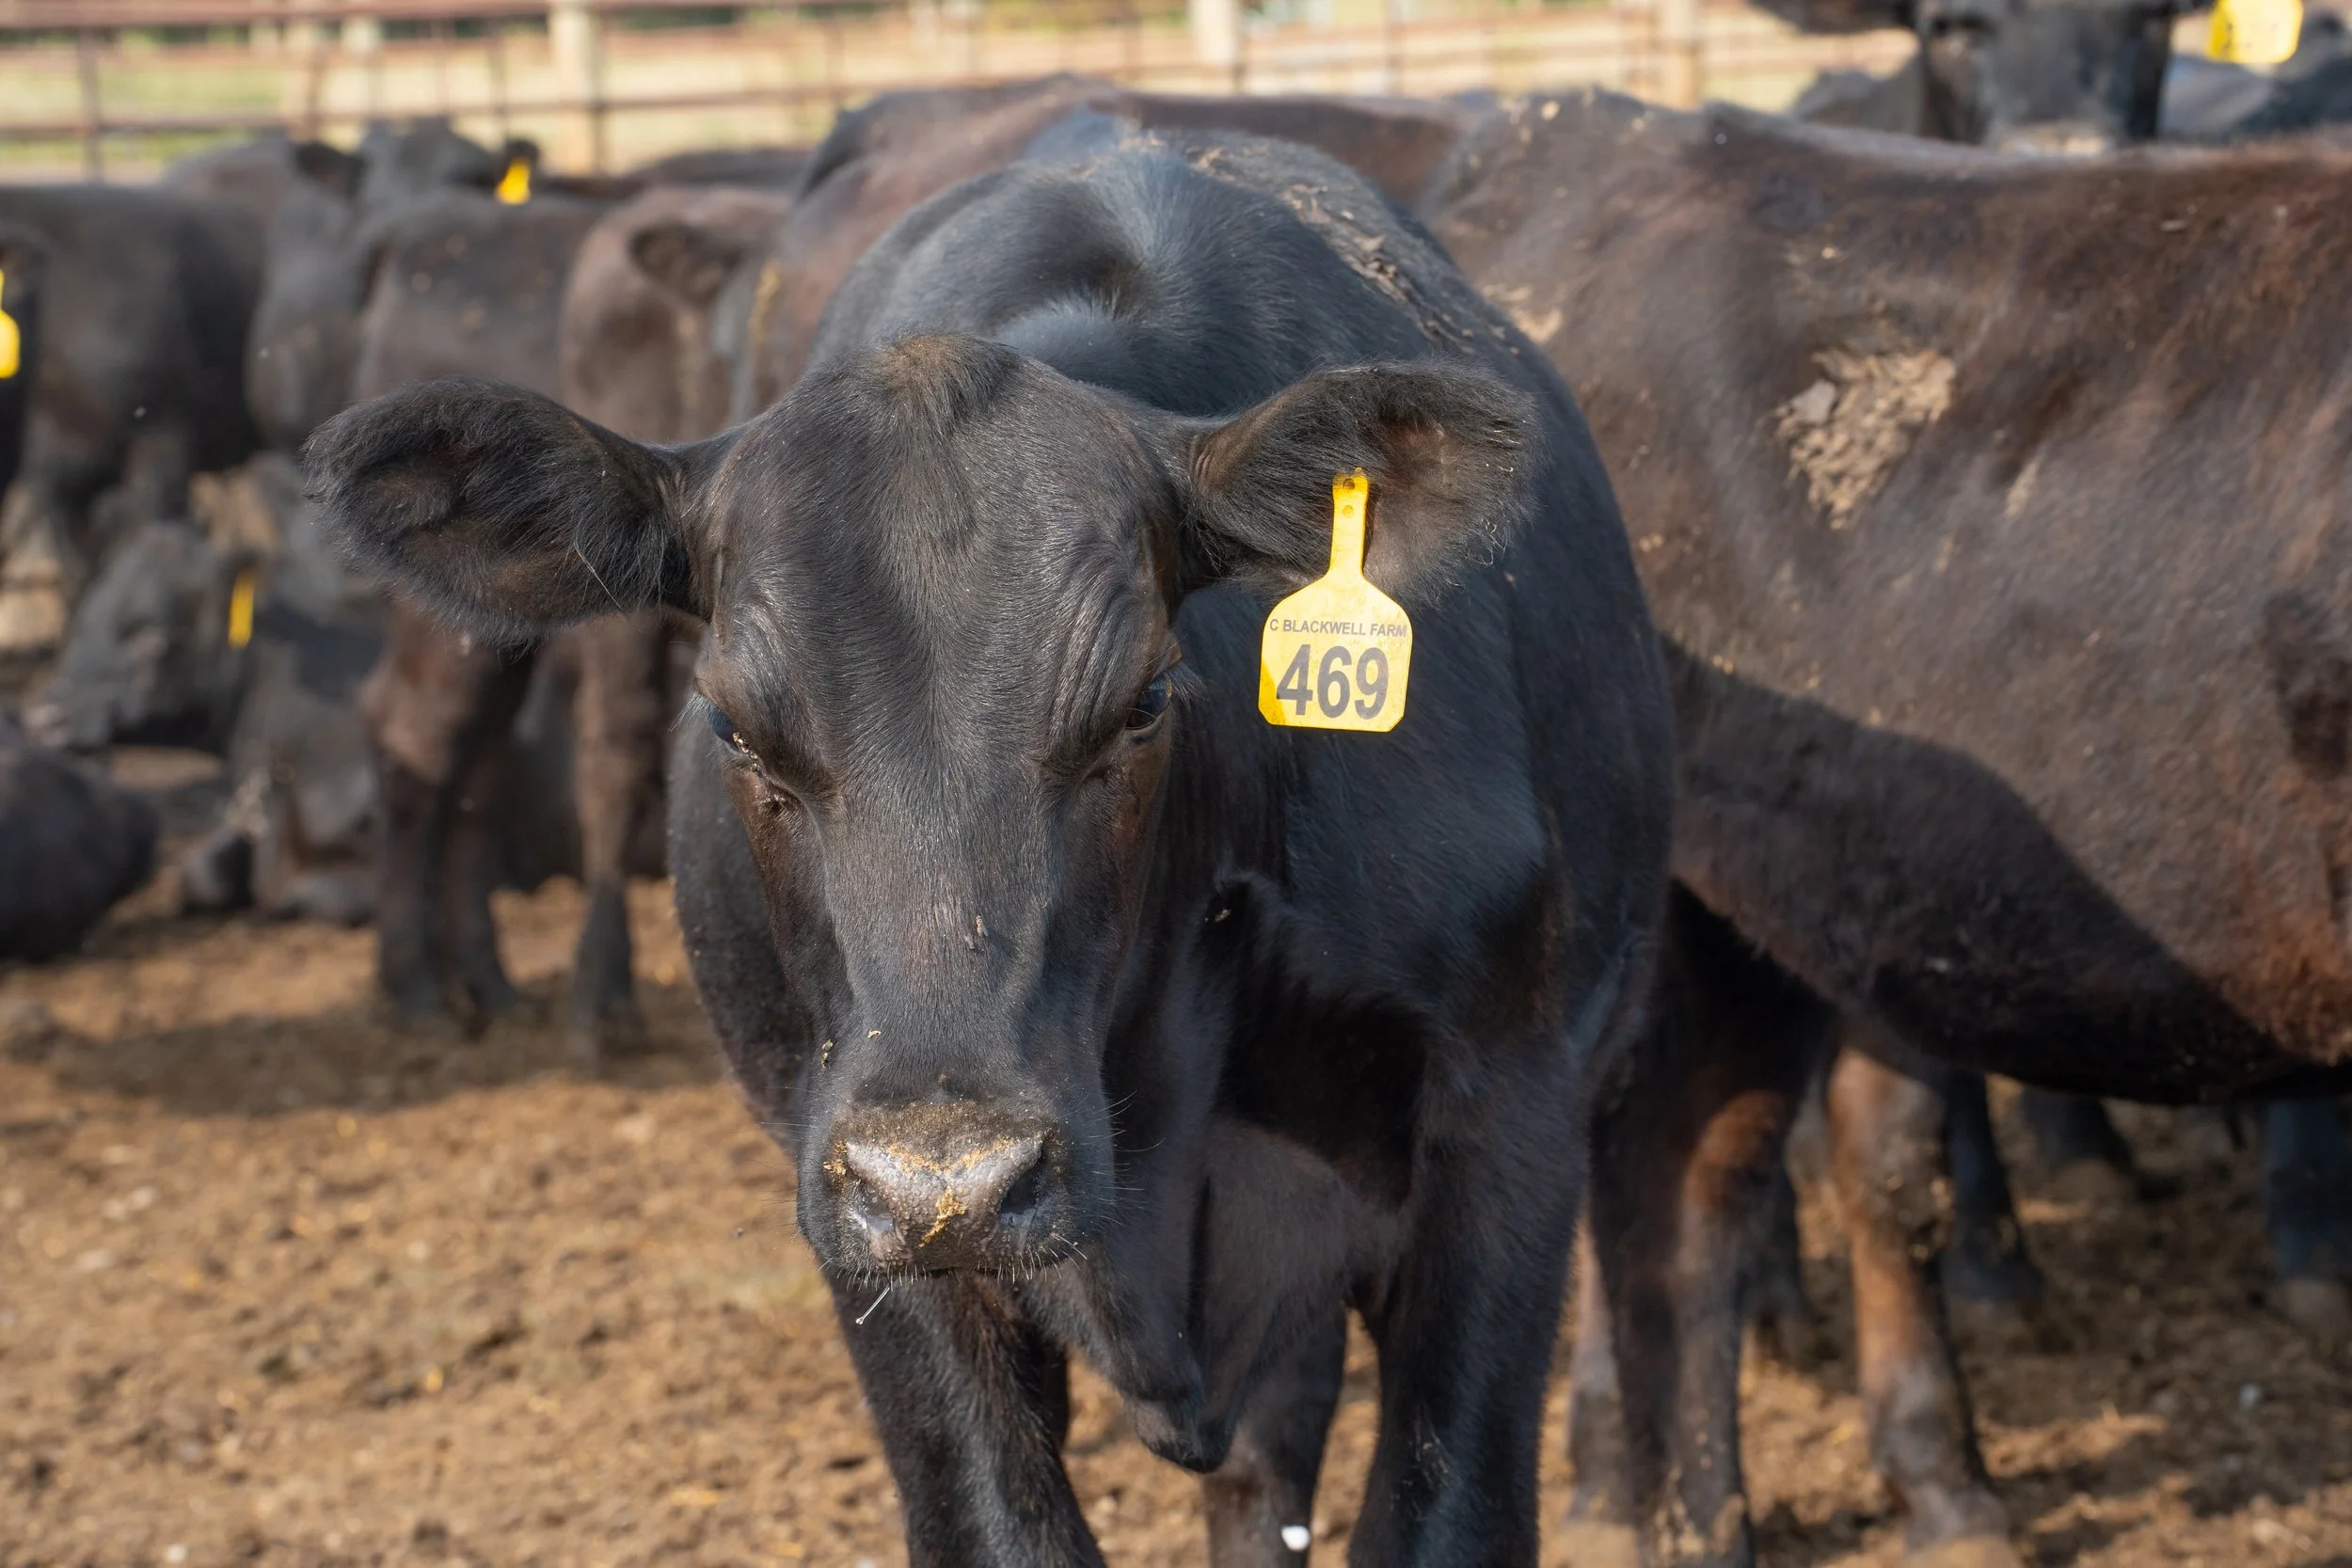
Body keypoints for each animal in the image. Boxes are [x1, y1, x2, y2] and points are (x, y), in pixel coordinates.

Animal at [306, 121, 1675, 1567]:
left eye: (1142, 698)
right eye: (736, 725)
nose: (947, 1179)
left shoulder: (1508, 1120)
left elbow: (1449, 1506)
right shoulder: (858, 1206)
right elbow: (993, 1515)